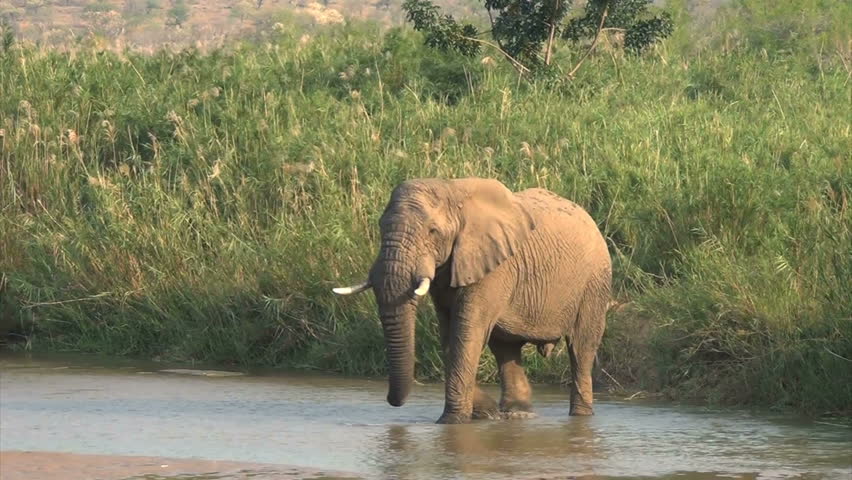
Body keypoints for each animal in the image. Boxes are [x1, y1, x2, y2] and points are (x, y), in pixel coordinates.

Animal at [333, 177, 611, 424]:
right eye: (380, 228)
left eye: (433, 232)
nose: (392, 402)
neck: (452, 191)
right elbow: (449, 336)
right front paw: (485, 413)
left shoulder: (494, 267)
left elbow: (466, 334)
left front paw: (452, 422)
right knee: (506, 349)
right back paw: (514, 414)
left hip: (594, 283)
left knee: (581, 349)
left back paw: (578, 416)